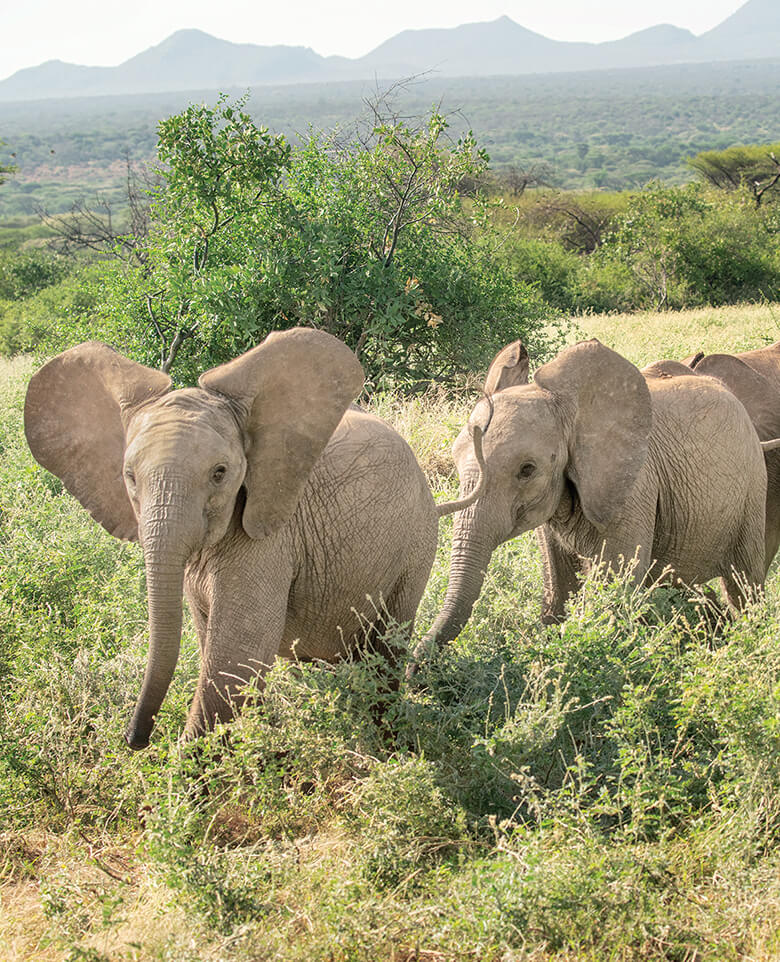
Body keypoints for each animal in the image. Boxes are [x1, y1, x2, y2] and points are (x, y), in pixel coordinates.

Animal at [25, 329, 438, 748]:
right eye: (129, 477)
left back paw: (387, 743)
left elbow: (234, 658)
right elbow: (214, 646)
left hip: (419, 539)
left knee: (387, 646)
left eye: (220, 473)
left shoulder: (269, 541)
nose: (135, 737)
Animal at [417, 337, 776, 659]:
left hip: (753, 487)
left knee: (744, 583)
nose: (414, 670)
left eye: (527, 470)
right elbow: (559, 588)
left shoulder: (633, 487)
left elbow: (613, 590)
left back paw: (747, 640)